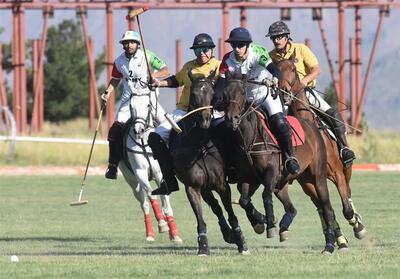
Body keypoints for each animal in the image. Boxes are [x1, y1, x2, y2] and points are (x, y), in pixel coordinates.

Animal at [118, 88, 182, 244]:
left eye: (148, 104)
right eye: (131, 106)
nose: (138, 130)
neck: (144, 142)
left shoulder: (160, 174)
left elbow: (166, 204)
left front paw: (174, 233)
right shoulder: (140, 173)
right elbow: (151, 195)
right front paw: (162, 224)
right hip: (132, 181)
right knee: (144, 203)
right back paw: (150, 233)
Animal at [223, 74, 340, 254]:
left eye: (242, 92)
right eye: (224, 93)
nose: (231, 119)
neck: (249, 138)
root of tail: (312, 125)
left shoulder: (270, 173)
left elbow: (265, 196)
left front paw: (270, 223)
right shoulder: (248, 178)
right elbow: (244, 200)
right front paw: (261, 222)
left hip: (318, 177)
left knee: (327, 208)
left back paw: (329, 245)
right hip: (289, 183)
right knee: (293, 207)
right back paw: (284, 226)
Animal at [278, 53, 366, 240]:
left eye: (293, 69)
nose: (284, 92)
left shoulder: (337, 173)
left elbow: (346, 209)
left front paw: (357, 225)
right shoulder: (308, 182)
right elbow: (328, 211)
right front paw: (339, 238)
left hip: (346, 170)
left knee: (348, 194)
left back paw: (358, 223)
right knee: (323, 208)